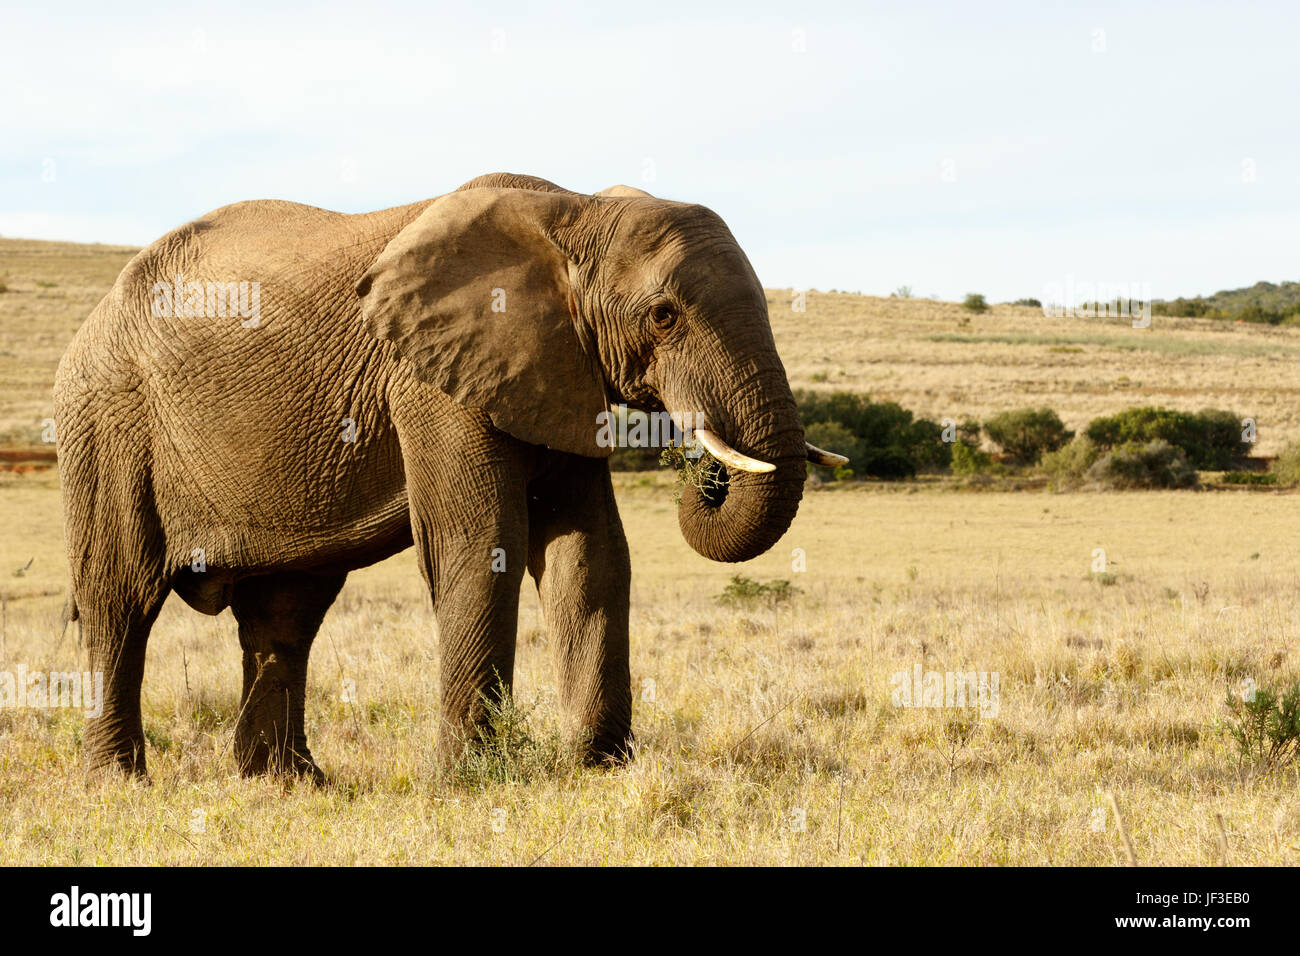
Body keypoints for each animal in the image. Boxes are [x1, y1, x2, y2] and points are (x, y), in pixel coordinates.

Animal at [53, 171, 842, 780]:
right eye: (664, 315)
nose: (697, 472)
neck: (575, 211)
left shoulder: (558, 365)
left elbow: (589, 553)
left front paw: (597, 768)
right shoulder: (432, 378)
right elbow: (482, 540)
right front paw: (471, 780)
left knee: (285, 613)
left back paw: (289, 783)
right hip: (107, 422)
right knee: (121, 599)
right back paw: (120, 783)